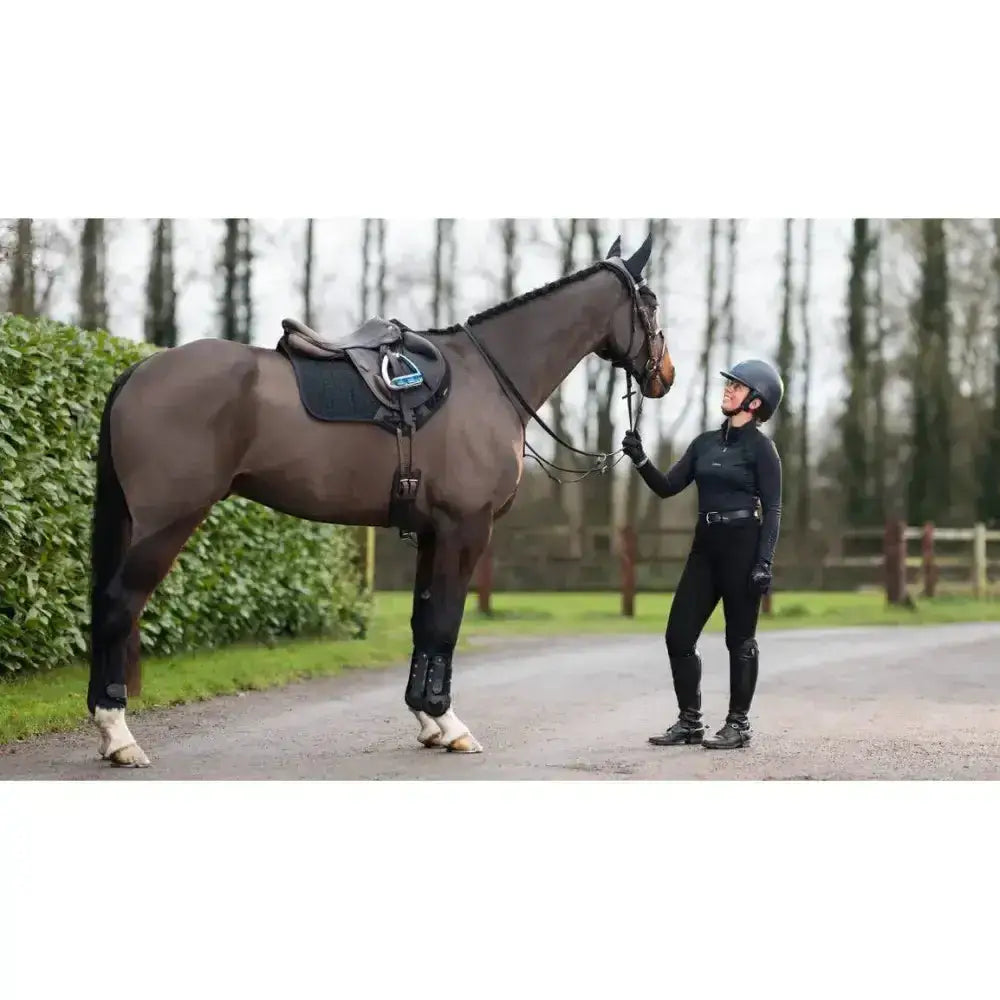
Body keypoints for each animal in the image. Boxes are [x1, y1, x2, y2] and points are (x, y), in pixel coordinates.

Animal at [87, 232, 675, 767]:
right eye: (649, 303)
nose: (664, 375)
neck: (487, 378)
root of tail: (140, 370)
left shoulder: (432, 532)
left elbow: (423, 622)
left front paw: (426, 719)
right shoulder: (466, 528)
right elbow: (444, 623)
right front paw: (448, 722)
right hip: (167, 524)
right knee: (118, 606)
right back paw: (119, 736)